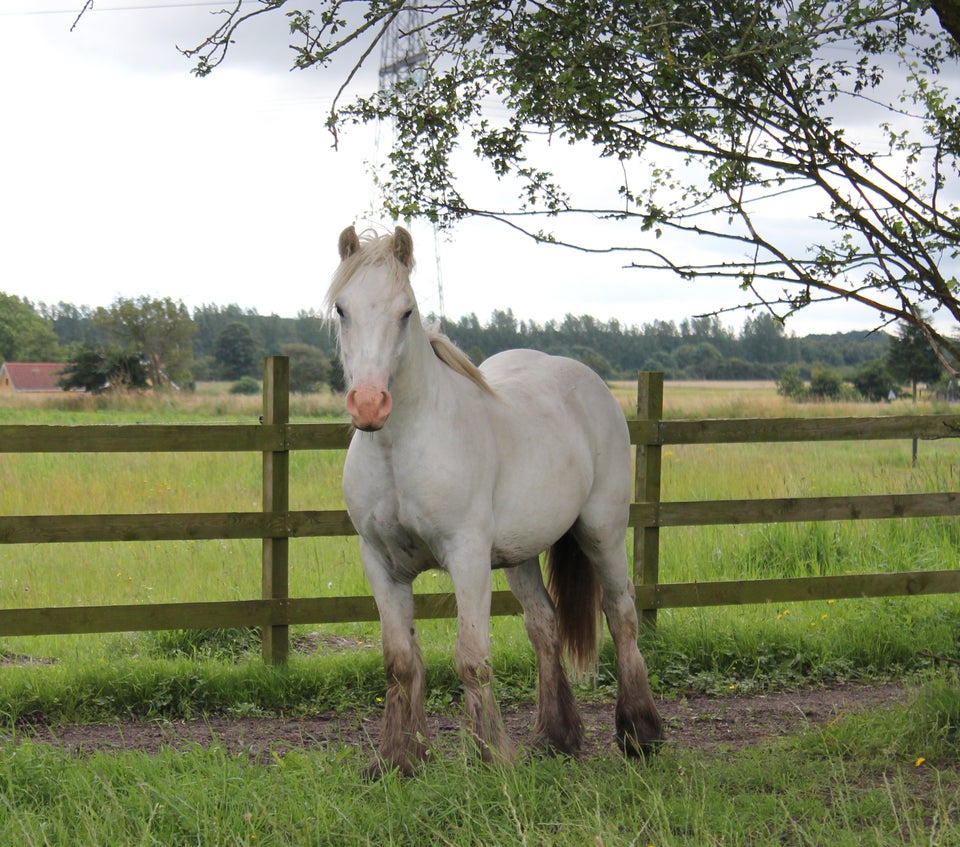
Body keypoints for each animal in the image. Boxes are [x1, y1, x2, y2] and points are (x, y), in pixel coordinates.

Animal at [328, 225, 660, 776]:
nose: (369, 404)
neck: (400, 449)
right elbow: (400, 661)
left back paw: (640, 733)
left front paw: (491, 756)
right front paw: (400, 758)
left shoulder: (466, 557)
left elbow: (472, 658)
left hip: (603, 532)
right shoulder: (380, 562)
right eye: (341, 309)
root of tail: (589, 382)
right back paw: (557, 737)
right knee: (544, 626)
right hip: (519, 554)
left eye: (406, 311)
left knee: (622, 615)